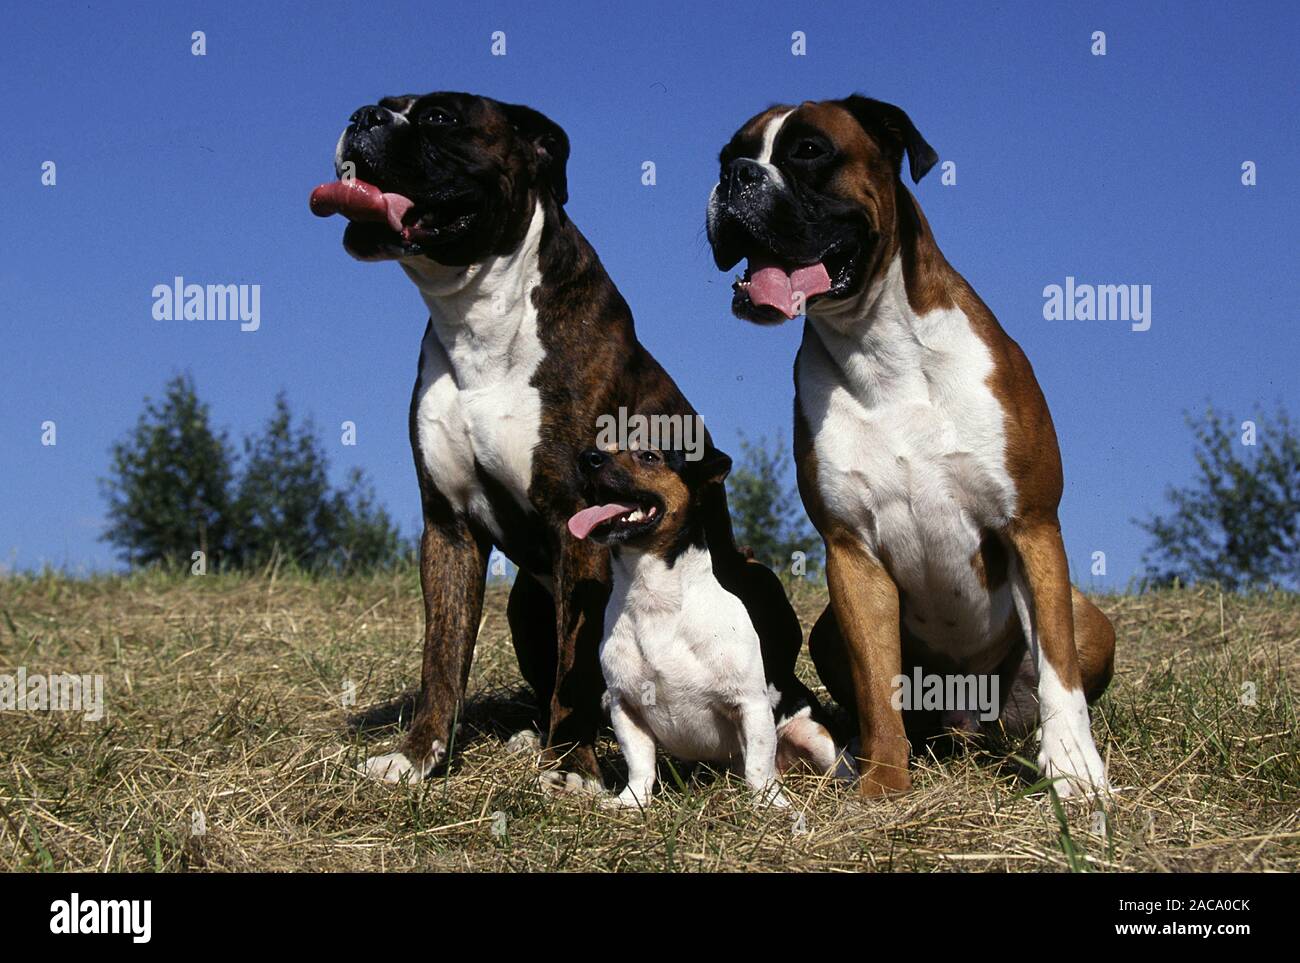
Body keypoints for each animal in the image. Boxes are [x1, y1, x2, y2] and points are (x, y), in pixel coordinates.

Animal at [310, 88, 832, 779]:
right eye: (382, 104)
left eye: (442, 117)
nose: (362, 117)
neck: (477, 316)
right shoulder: (447, 528)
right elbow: (441, 658)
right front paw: (417, 758)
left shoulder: (573, 518)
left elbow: (579, 663)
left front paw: (571, 767)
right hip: (522, 605)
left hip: (757, 579)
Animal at [707, 95, 1112, 795]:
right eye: (727, 155)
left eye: (809, 151)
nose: (736, 177)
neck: (881, 348)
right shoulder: (852, 553)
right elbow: (878, 689)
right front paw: (883, 785)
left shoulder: (1031, 525)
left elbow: (1058, 671)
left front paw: (1072, 770)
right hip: (827, 631)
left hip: (1092, 620)